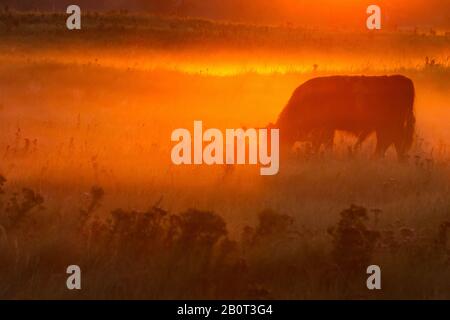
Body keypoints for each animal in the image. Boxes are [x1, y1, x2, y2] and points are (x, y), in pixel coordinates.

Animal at [276, 75, 416, 160]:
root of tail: (403, 79)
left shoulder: (326, 128)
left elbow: (324, 144)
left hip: (391, 125)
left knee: (392, 142)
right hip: (384, 127)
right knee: (387, 142)